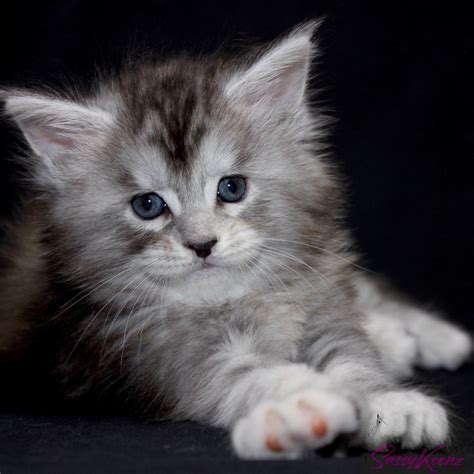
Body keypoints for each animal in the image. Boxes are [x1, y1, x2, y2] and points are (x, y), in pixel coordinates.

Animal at [0, 22, 470, 460]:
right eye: (148, 205)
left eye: (231, 188)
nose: (202, 244)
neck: (236, 301)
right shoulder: (152, 360)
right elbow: (247, 376)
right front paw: (303, 405)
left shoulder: (320, 305)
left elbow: (353, 356)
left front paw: (389, 401)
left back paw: (430, 337)